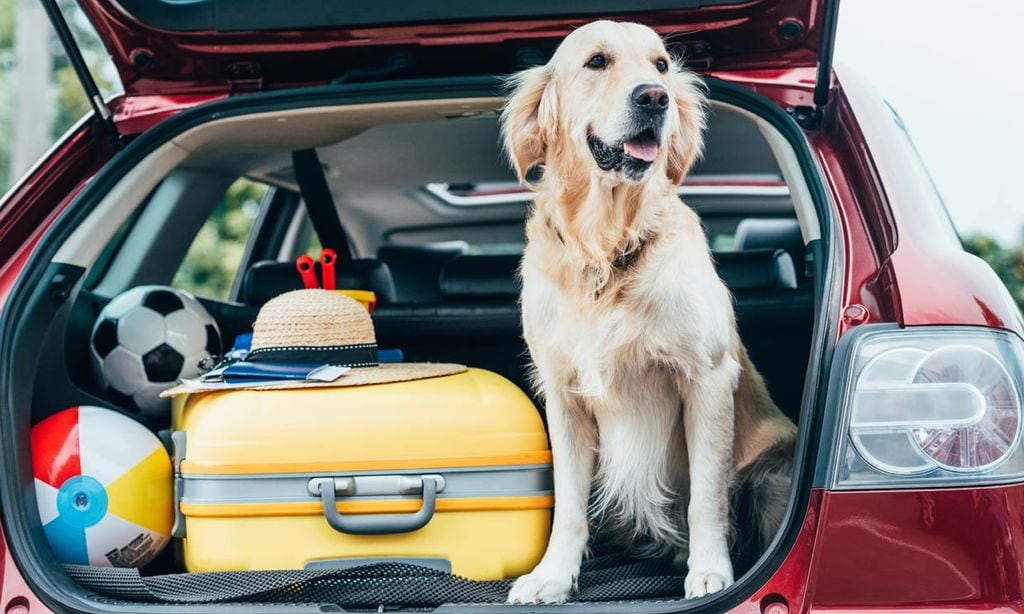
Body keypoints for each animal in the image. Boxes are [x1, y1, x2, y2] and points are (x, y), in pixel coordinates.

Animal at [503, 21, 798, 601]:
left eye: (661, 65)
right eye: (597, 61)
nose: (655, 98)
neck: (607, 249)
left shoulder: (706, 379)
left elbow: (707, 497)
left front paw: (710, 571)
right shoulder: (564, 394)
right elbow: (568, 505)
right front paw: (552, 576)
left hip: (772, 472)